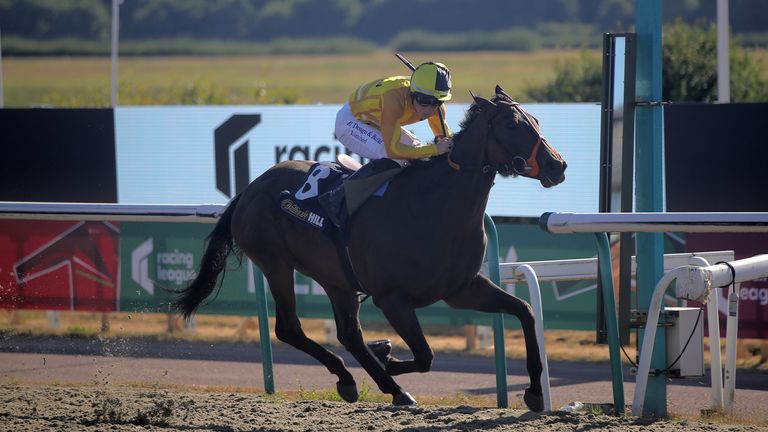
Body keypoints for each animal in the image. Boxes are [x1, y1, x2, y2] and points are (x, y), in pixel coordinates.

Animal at [177, 85, 568, 412]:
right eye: (512, 125)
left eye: (535, 120)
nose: (558, 165)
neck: (436, 207)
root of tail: (250, 188)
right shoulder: (392, 298)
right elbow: (425, 355)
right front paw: (388, 356)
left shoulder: (462, 288)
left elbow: (525, 312)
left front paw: (535, 392)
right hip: (275, 263)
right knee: (290, 329)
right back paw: (365, 380)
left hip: (335, 277)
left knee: (349, 334)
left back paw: (373, 384)